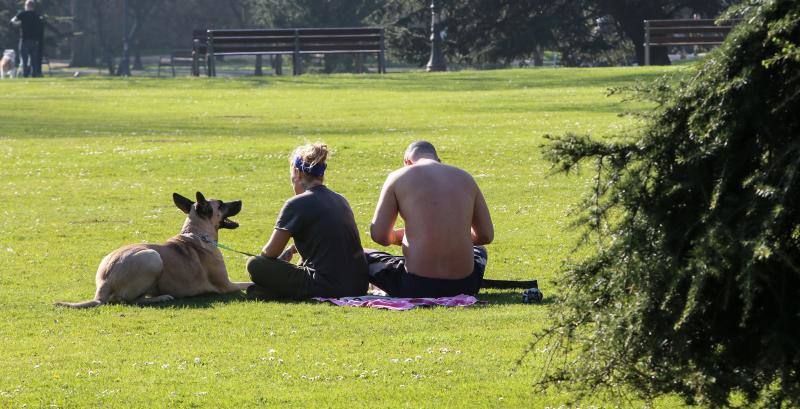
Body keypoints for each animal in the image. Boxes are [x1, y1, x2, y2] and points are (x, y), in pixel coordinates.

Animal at [55, 191, 252, 306]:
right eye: (221, 204)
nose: (240, 200)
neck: (196, 233)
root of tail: (103, 287)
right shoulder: (227, 285)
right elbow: (248, 283)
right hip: (153, 257)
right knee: (128, 300)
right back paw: (161, 297)